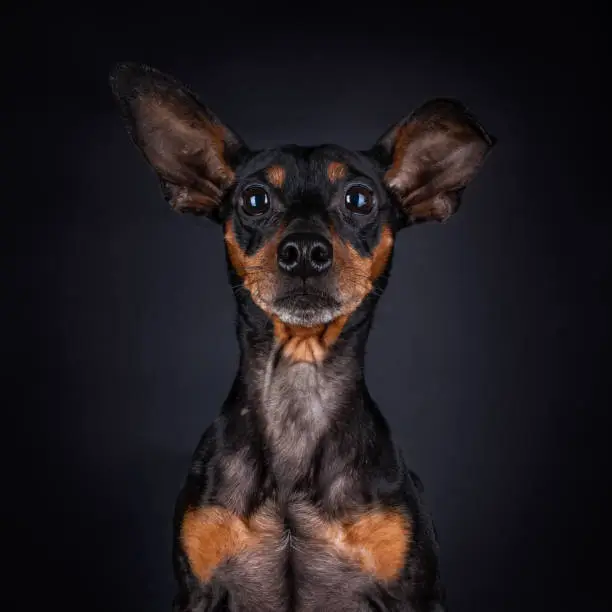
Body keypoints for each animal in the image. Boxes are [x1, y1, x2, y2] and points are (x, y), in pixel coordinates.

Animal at [109, 63, 492, 612]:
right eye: (254, 199)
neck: (299, 387)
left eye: (359, 198)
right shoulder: (196, 592)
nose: (305, 251)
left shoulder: (413, 594)